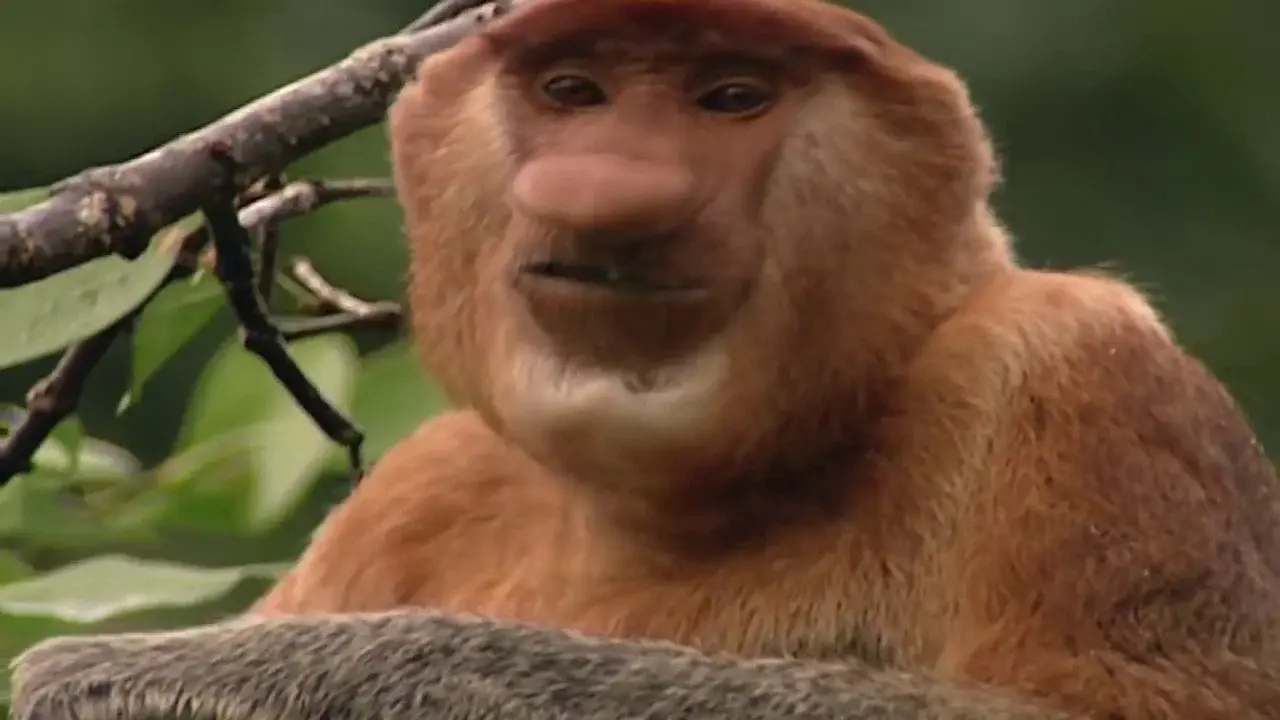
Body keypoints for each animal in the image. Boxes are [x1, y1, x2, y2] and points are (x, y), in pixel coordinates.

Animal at [241, 0, 1280, 718]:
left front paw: (313, 667)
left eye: (732, 98)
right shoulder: (422, 485)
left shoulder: (1071, 373)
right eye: (572, 91)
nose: (605, 191)